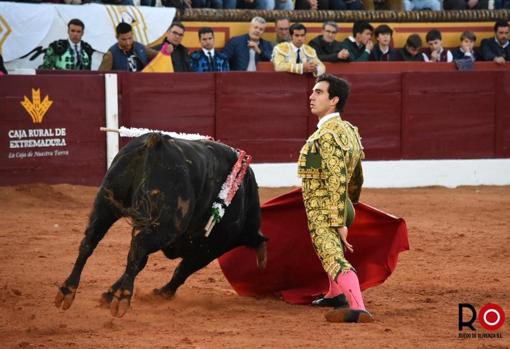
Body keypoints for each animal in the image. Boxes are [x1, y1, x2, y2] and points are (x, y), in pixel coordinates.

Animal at [55, 132, 268, 316]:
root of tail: (156, 142)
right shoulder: (210, 248)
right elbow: (183, 269)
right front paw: (162, 293)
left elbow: (139, 262)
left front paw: (108, 294)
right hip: (166, 226)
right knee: (138, 246)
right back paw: (123, 298)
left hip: (106, 203)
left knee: (89, 242)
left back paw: (67, 291)